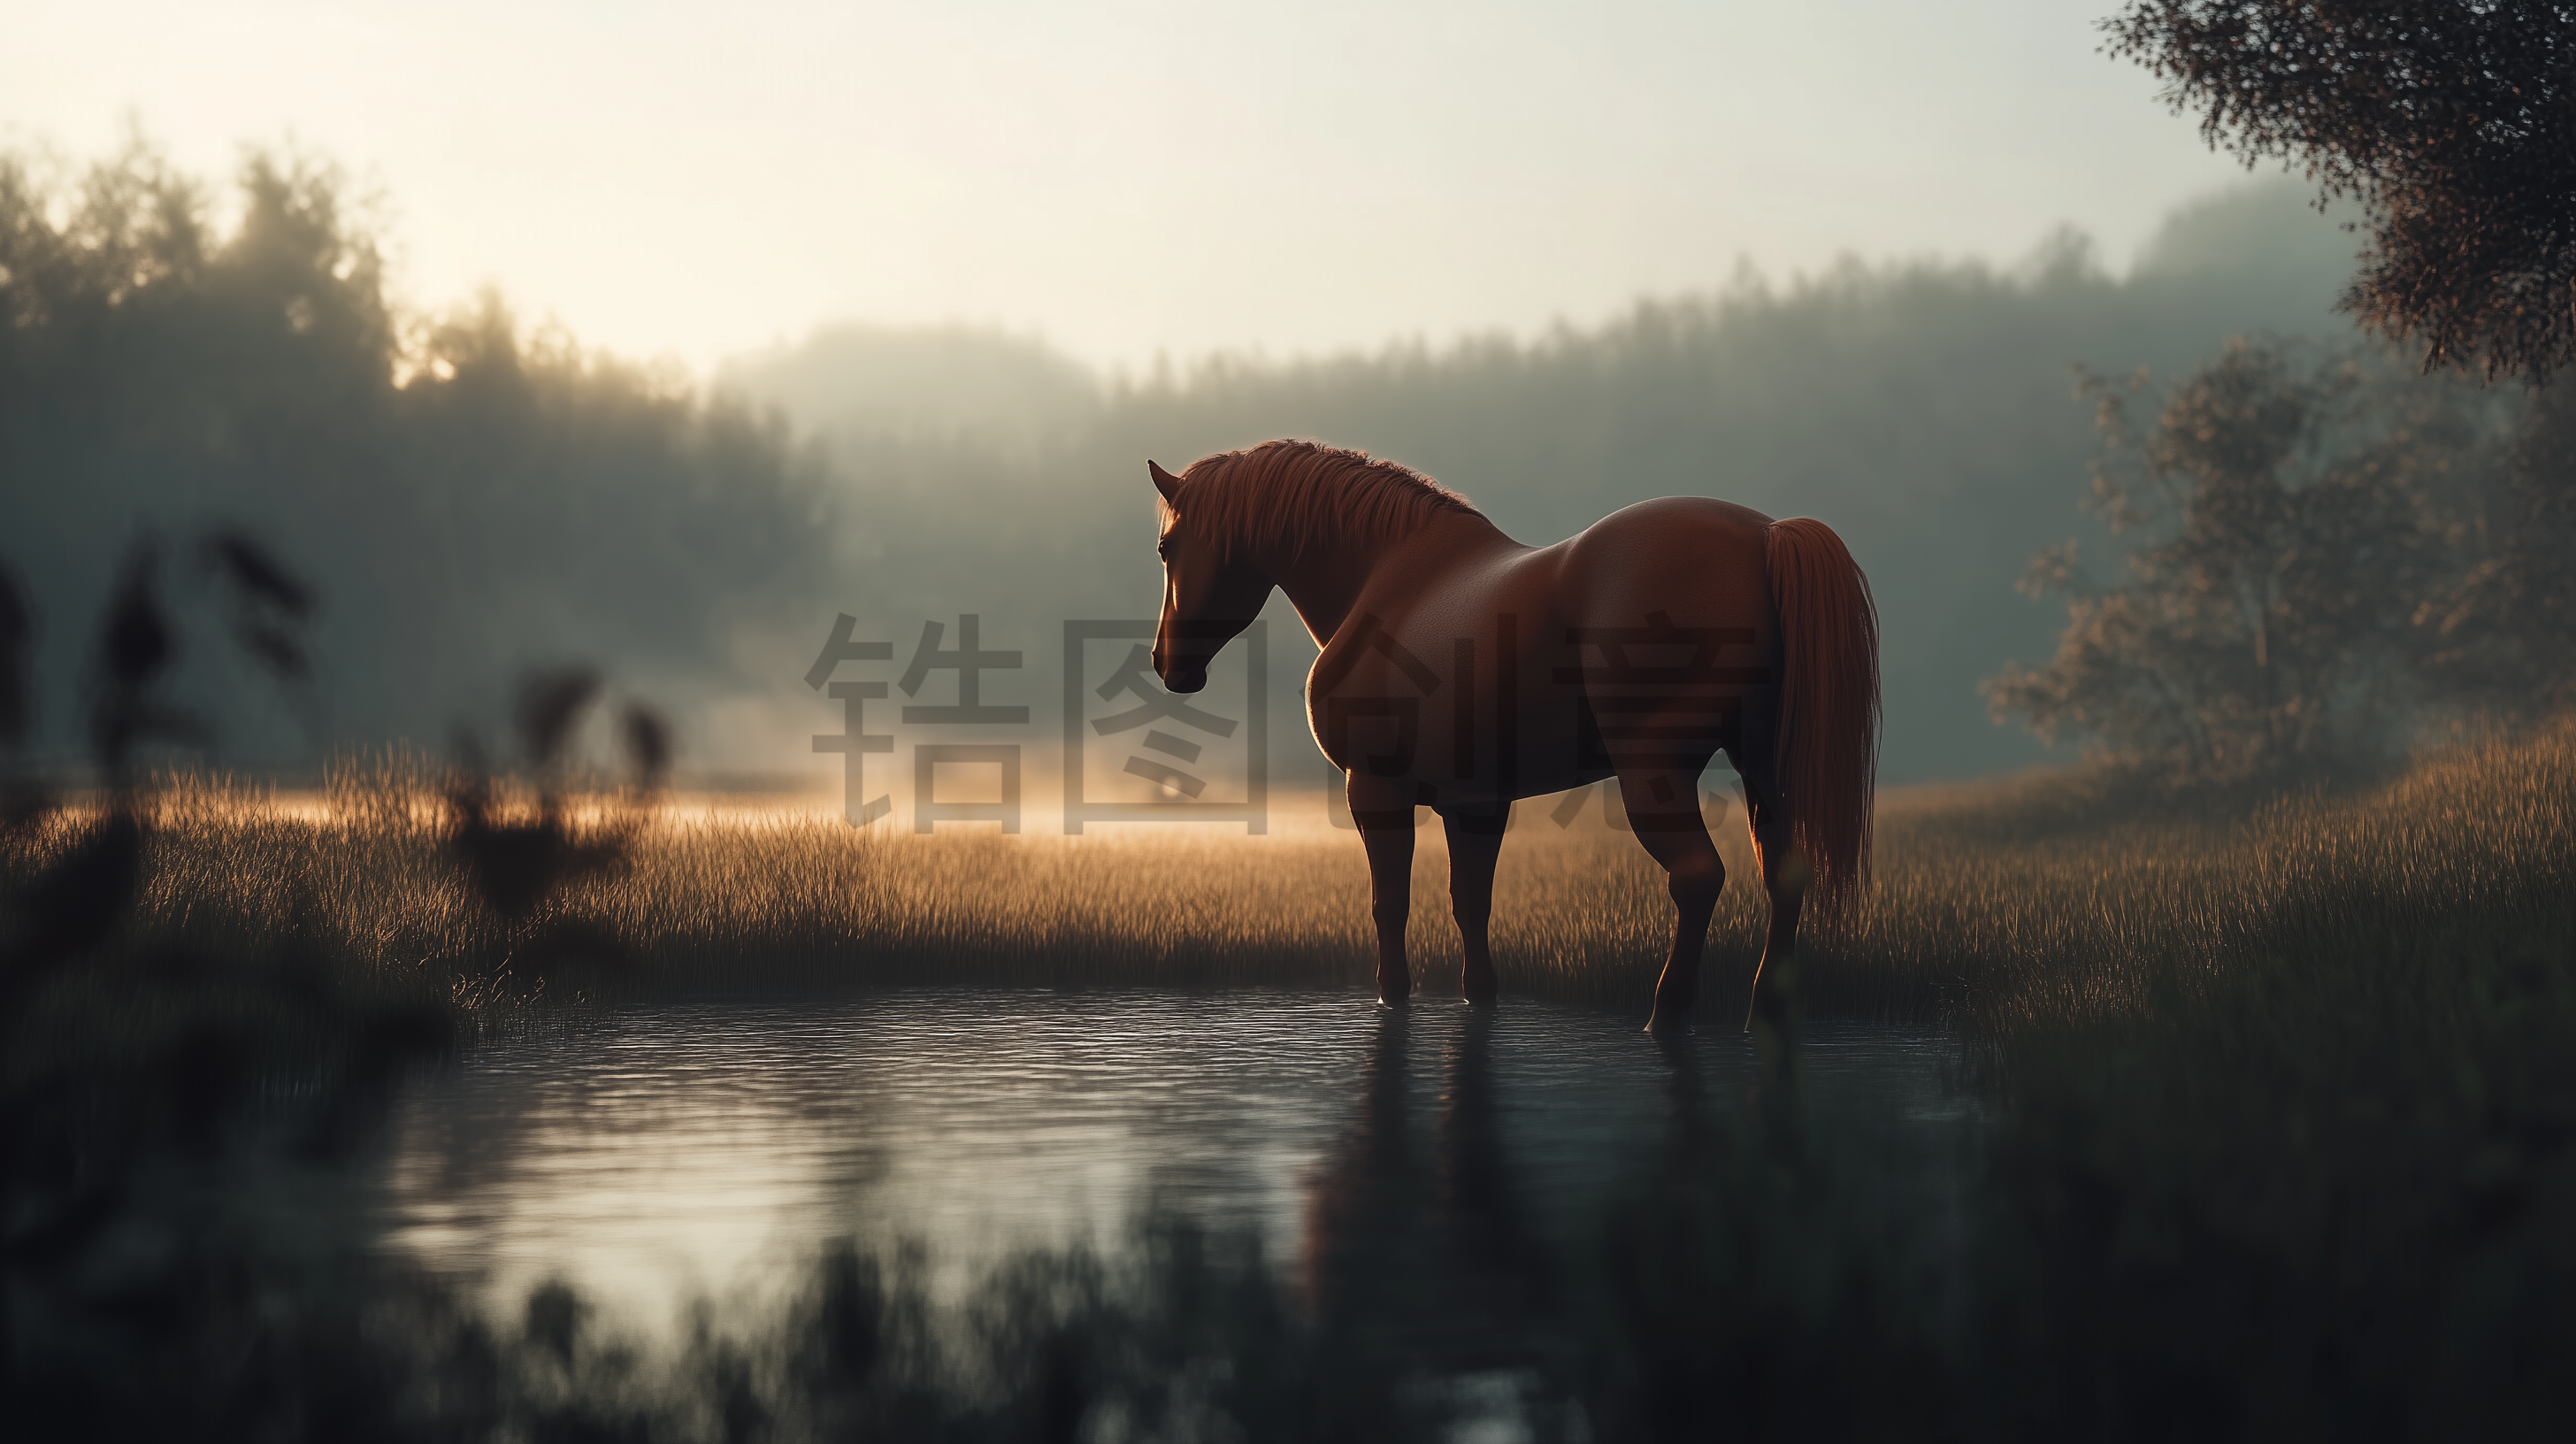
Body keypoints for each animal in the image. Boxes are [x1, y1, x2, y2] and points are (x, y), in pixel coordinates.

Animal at [1147, 439, 1879, 1032]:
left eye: (1166, 548)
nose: (1167, 665)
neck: (1387, 581)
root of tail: (1766, 535)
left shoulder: (1376, 791)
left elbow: (1391, 905)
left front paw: (1394, 1000)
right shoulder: (1474, 803)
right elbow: (1472, 908)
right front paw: (1479, 1001)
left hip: (1655, 770)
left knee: (1698, 877)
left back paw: (1665, 1016)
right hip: (1764, 765)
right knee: (1783, 876)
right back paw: (1766, 1014)